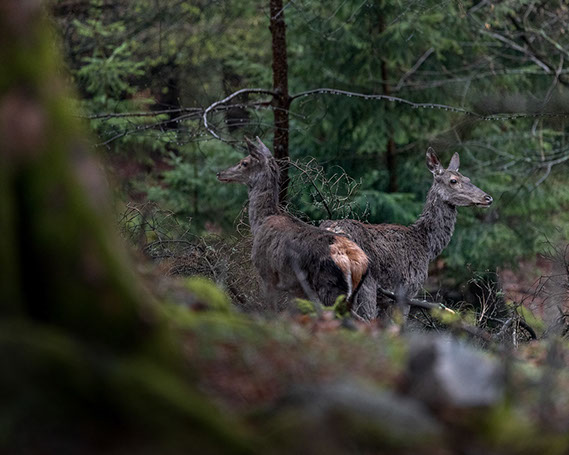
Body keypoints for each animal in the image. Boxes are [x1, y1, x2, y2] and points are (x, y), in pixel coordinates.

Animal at [217, 137, 369, 312]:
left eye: (244, 162)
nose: (220, 173)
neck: (260, 222)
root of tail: (359, 263)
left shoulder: (266, 273)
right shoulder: (296, 288)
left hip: (329, 286)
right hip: (351, 296)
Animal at [321, 147, 493, 321]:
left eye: (467, 178)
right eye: (453, 180)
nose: (488, 198)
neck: (426, 247)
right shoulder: (406, 291)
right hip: (366, 286)